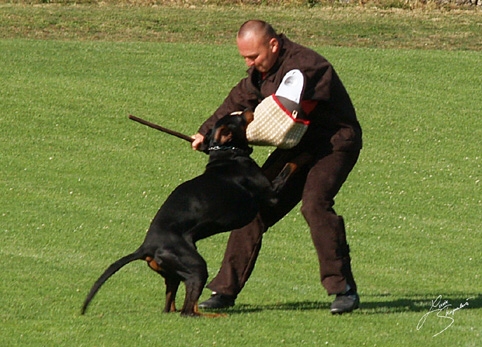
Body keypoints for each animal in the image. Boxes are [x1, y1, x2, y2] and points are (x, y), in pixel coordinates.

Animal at [82, 111, 298, 318]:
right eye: (238, 117)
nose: (248, 110)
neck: (226, 152)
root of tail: (146, 247)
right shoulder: (271, 194)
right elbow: (289, 167)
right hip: (196, 266)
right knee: (188, 311)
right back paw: (214, 315)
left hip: (175, 273)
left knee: (171, 306)